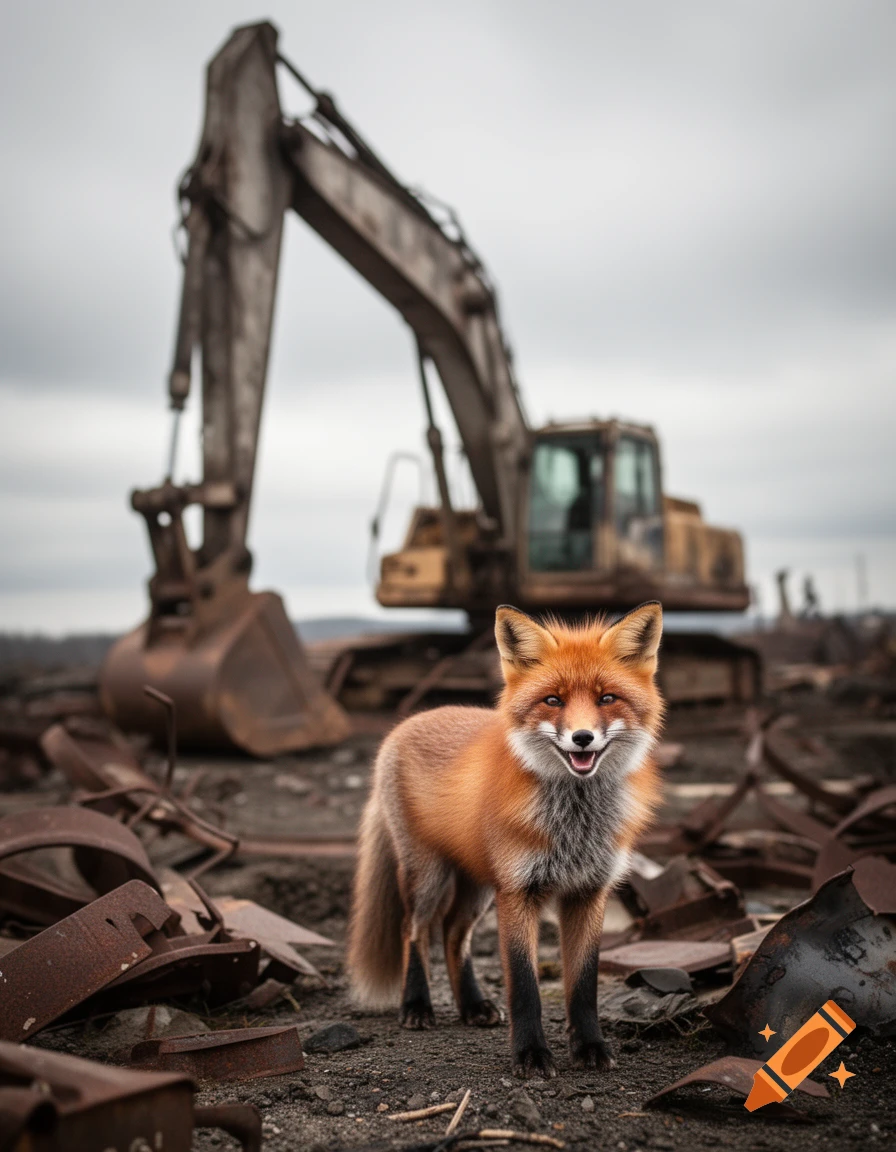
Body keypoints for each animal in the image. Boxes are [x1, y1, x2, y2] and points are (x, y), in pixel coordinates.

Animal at [346, 601, 664, 1078]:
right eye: (553, 700)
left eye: (607, 698)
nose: (582, 738)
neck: (574, 824)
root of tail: (407, 723)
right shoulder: (518, 891)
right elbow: (524, 985)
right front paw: (531, 1055)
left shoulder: (589, 892)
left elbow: (584, 983)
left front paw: (589, 1046)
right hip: (428, 875)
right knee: (414, 930)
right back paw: (417, 1005)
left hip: (478, 884)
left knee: (452, 933)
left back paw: (472, 1005)